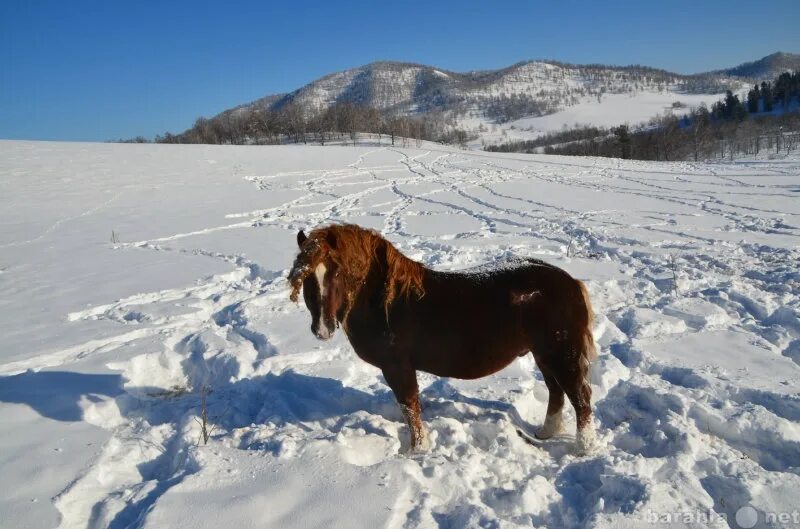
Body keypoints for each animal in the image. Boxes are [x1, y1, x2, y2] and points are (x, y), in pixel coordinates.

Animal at [290, 223, 596, 454]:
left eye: (337, 272)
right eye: (304, 278)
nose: (323, 329)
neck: (385, 301)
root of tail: (571, 283)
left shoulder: (397, 367)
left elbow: (410, 407)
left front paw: (418, 449)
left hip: (561, 355)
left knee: (580, 398)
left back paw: (584, 448)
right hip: (544, 355)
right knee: (556, 392)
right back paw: (545, 432)